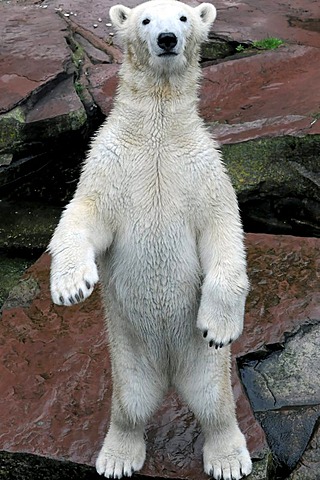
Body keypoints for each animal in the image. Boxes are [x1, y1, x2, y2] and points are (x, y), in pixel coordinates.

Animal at [48, 0, 252, 478]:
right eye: (144, 19)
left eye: (183, 18)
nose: (166, 39)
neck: (157, 132)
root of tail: (169, 373)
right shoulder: (110, 163)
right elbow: (84, 214)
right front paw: (72, 286)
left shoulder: (203, 169)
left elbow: (223, 232)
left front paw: (219, 325)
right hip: (127, 354)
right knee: (131, 404)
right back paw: (117, 457)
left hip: (200, 359)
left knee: (214, 402)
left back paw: (228, 458)